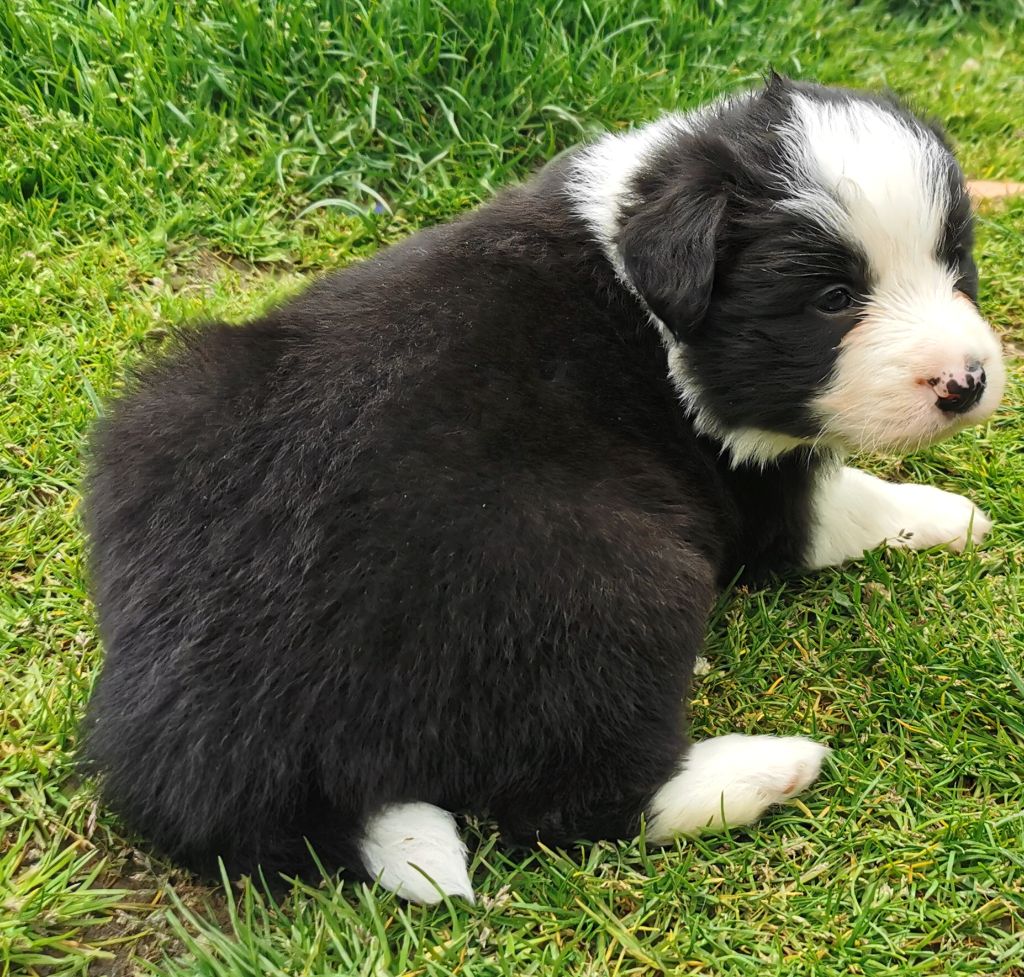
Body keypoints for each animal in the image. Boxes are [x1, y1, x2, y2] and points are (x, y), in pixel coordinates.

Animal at [82, 74, 1005, 904]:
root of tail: (222, 733)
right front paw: (955, 515)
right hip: (609, 571)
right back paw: (763, 767)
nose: (968, 382)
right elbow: (847, 504)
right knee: (582, 801)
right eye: (832, 298)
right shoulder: (748, 475)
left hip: (160, 412)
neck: (642, 269)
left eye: (955, 261)